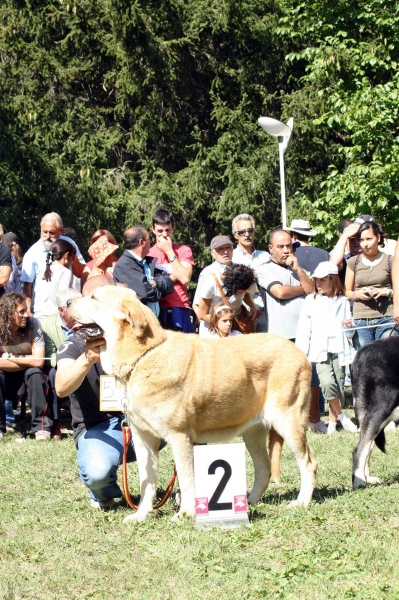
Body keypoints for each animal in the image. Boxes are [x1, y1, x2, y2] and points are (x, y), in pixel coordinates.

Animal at [69, 286, 318, 520]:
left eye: (93, 297)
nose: (67, 302)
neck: (144, 356)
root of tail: (298, 351)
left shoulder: (179, 437)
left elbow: (187, 478)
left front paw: (185, 514)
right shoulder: (142, 439)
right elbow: (146, 481)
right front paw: (141, 515)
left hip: (288, 421)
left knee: (308, 463)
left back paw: (301, 502)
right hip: (253, 432)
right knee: (264, 468)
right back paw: (249, 501)